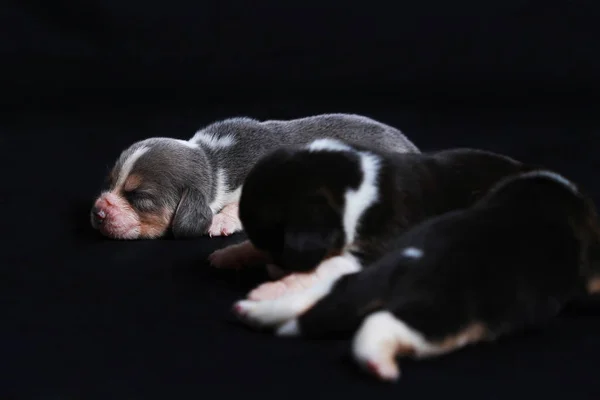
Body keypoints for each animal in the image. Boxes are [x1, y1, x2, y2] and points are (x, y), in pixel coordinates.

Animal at [264, 168, 600, 382]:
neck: (532, 197)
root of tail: (402, 266)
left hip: (354, 283)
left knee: (321, 295)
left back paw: (261, 307)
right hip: (442, 313)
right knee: (383, 322)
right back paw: (378, 363)